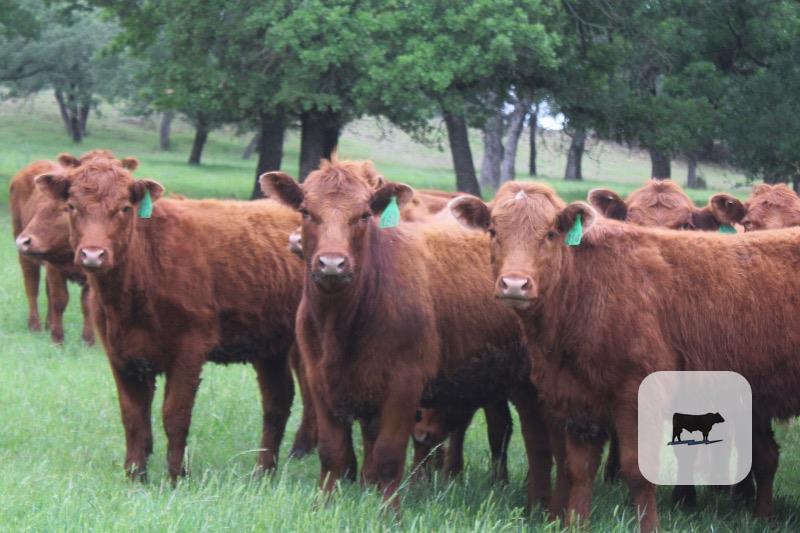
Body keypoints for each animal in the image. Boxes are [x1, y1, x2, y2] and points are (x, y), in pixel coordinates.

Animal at [9, 150, 134, 344]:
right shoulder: (54, 267)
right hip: (25, 256)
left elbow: (86, 303)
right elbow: (59, 299)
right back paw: (35, 326)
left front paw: (88, 340)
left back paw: (47, 324)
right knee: (32, 287)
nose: (25, 240)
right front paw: (58, 339)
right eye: (69, 207)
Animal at [35, 157, 304, 481]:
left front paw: (176, 476)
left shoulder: (189, 350)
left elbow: (175, 415)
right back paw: (263, 471)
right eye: (72, 206)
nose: (93, 255)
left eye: (125, 208)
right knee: (277, 400)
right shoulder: (120, 353)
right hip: (269, 348)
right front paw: (135, 475)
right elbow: (133, 416)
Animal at [260, 160, 557, 513]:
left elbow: (388, 456)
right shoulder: (320, 381)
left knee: (535, 442)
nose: (332, 263)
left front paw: (389, 513)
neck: (342, 325)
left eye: (364, 214)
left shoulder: (404, 384)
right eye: (306, 211)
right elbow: (333, 452)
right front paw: (325, 506)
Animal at [449, 180, 800, 530]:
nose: (514, 284)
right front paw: (576, 523)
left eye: (550, 233)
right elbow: (579, 469)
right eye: (493, 230)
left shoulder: (639, 395)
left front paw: (650, 526)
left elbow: (638, 470)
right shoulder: (577, 395)